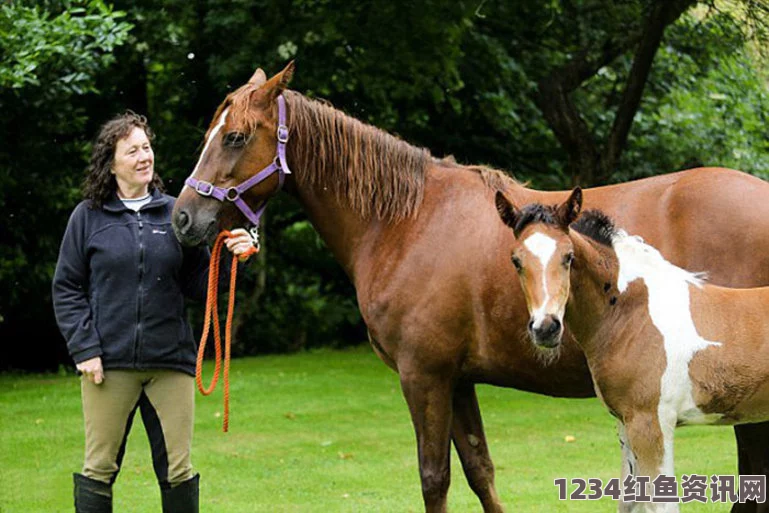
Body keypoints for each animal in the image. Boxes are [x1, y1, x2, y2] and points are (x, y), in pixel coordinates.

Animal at [496, 189, 769, 512]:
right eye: (516, 260)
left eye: (568, 257)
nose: (546, 328)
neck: (631, 311)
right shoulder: (626, 424)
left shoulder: (650, 424)